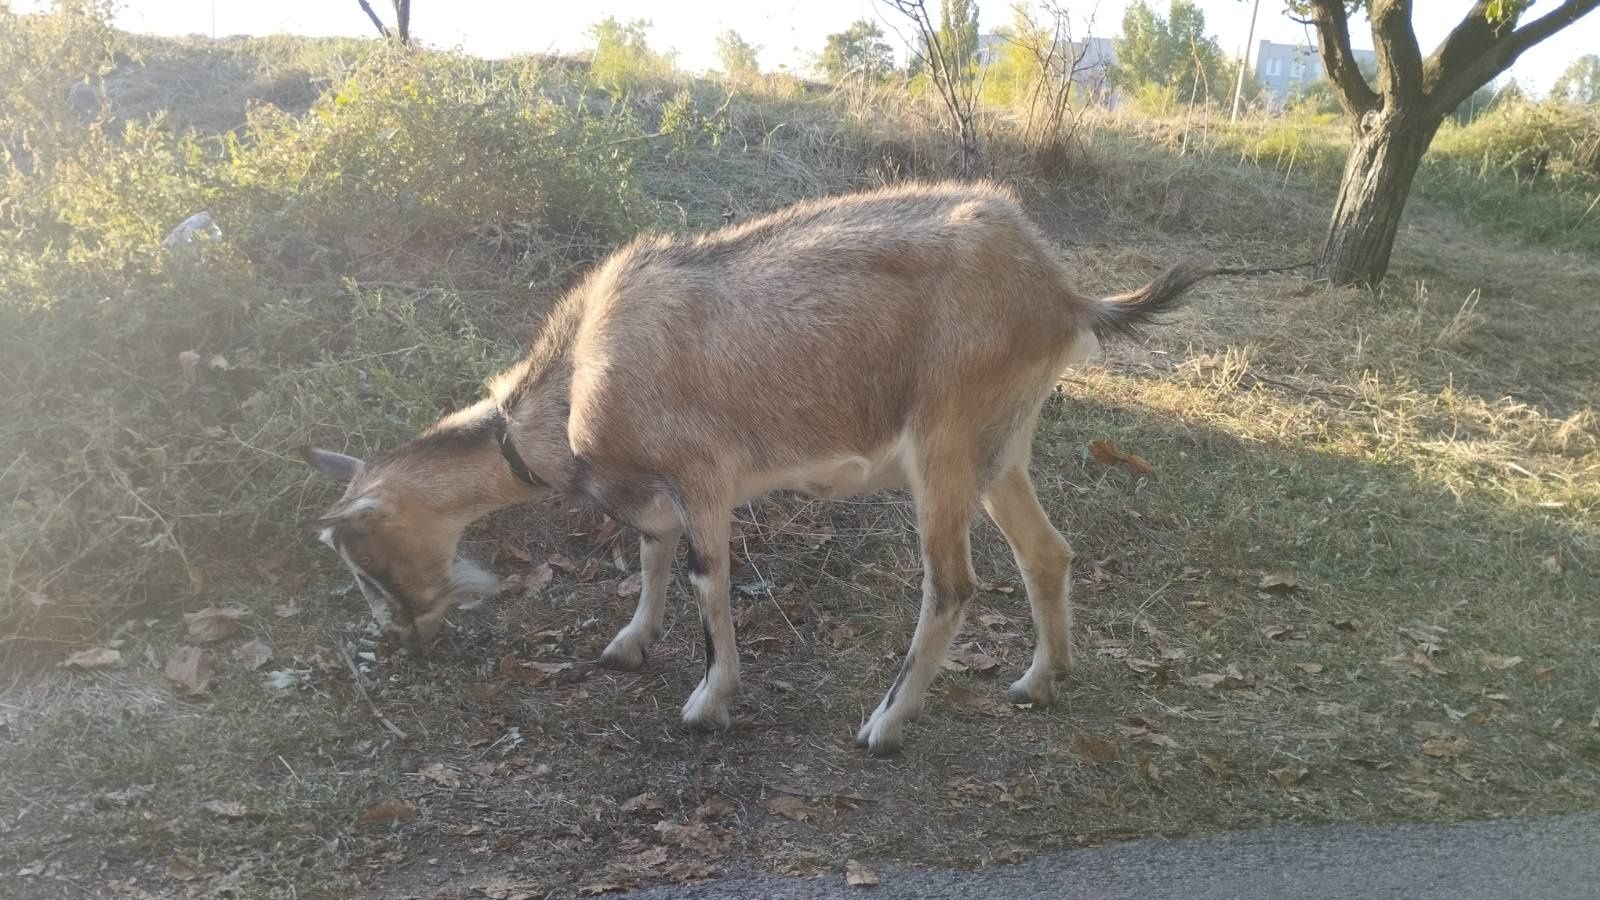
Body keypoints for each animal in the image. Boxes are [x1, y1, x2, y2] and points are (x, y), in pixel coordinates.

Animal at [302, 178, 1222, 752]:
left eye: (363, 559)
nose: (398, 637)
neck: (576, 380)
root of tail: (1064, 292)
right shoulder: (657, 492)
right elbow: (650, 554)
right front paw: (630, 642)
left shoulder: (704, 475)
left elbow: (705, 578)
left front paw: (708, 702)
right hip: (1001, 446)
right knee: (1047, 553)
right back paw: (1041, 680)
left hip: (945, 440)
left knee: (954, 584)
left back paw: (885, 726)